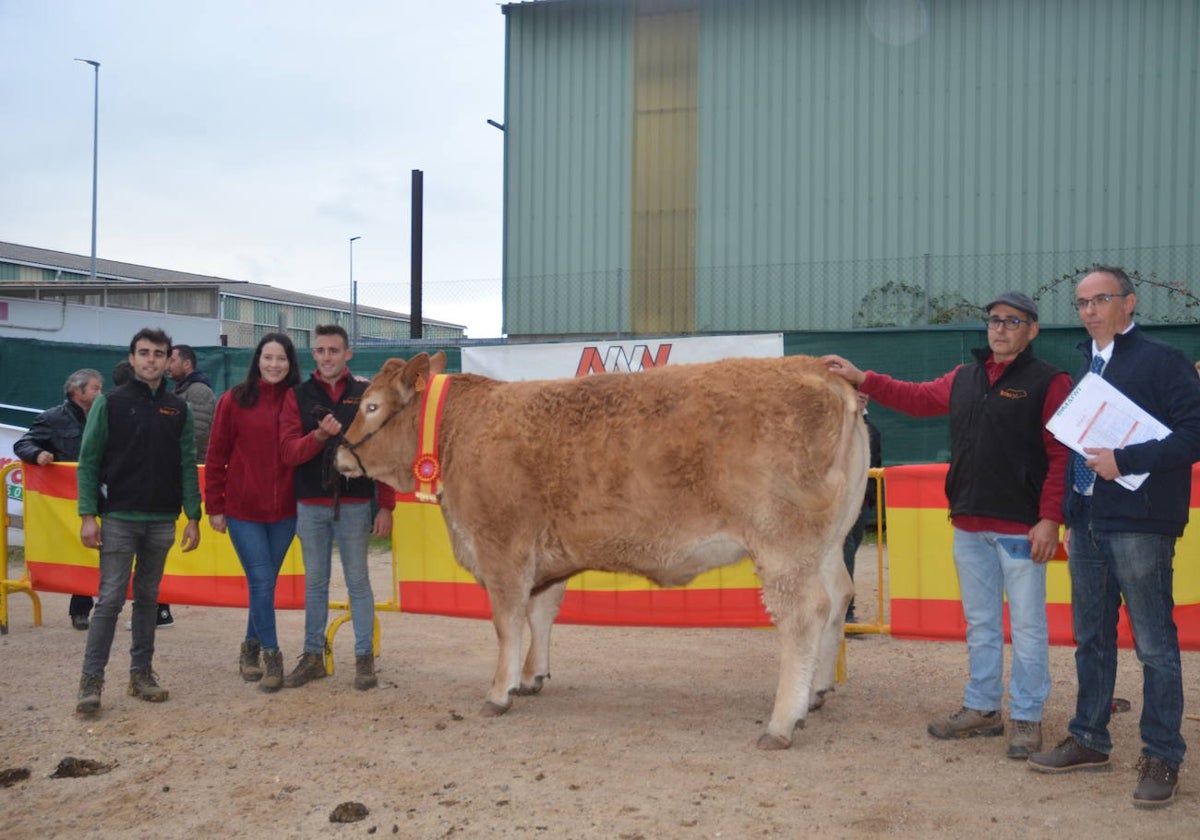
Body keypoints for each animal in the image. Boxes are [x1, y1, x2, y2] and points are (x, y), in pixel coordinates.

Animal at [333, 348, 868, 748]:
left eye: (372, 405)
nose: (339, 453)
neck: (458, 431)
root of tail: (817, 370)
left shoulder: (501, 546)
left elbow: (508, 622)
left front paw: (499, 691)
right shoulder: (543, 552)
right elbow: (540, 612)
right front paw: (532, 676)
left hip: (781, 543)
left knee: (804, 614)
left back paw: (782, 722)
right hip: (826, 544)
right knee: (839, 596)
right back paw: (816, 692)